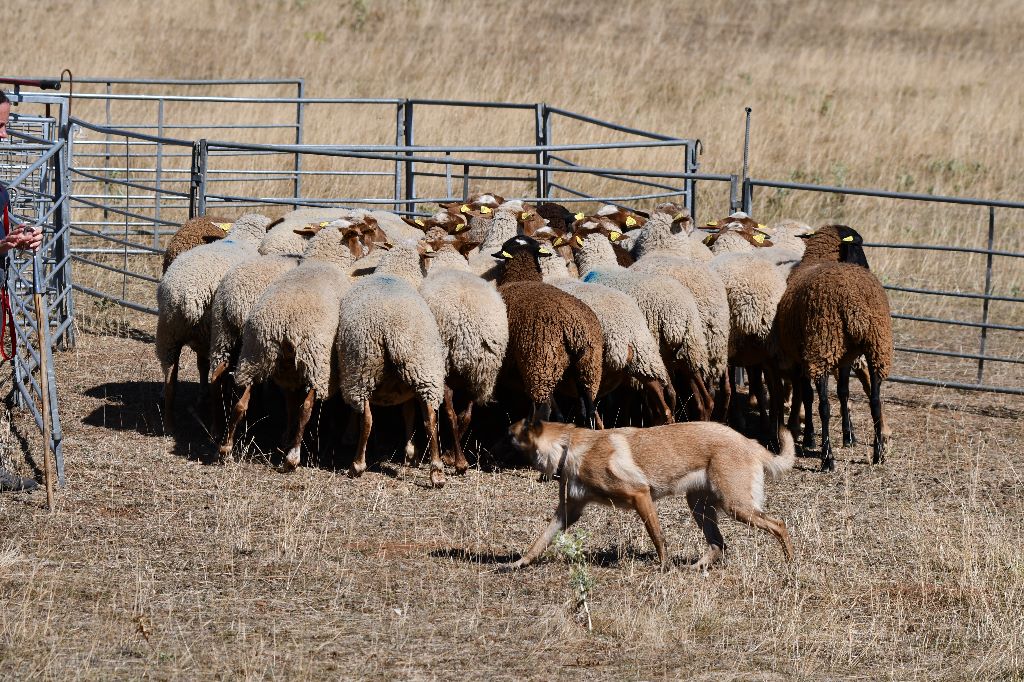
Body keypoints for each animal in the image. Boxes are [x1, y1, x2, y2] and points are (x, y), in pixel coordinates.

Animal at [491, 233, 602, 425]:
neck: (522, 277)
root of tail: (574, 327)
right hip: (588, 366)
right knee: (587, 409)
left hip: (540, 364)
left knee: (544, 410)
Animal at [503, 419, 798, 569]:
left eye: (509, 434)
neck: (568, 447)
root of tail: (751, 443)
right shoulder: (568, 511)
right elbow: (540, 540)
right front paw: (518, 563)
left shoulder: (640, 495)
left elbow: (658, 537)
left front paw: (663, 567)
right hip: (700, 507)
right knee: (719, 544)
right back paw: (695, 568)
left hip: (736, 506)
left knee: (779, 525)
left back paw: (790, 565)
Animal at [770, 223, 892, 466]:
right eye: (860, 246)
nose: (867, 266)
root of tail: (855, 304)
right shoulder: (845, 356)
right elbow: (844, 392)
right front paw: (848, 437)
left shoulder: (803, 358)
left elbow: (808, 396)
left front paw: (809, 438)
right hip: (876, 346)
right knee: (874, 401)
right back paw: (878, 454)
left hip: (822, 346)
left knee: (824, 405)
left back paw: (827, 458)